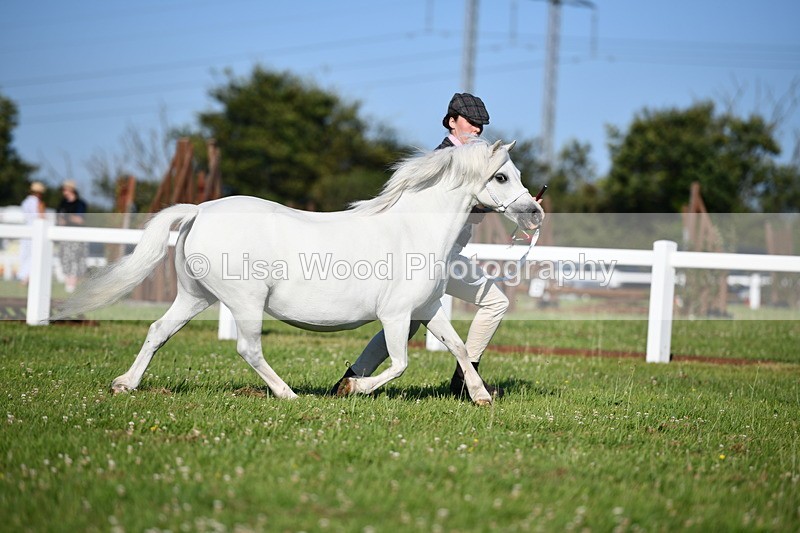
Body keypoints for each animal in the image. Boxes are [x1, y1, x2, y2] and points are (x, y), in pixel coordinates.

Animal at [56, 139, 544, 405]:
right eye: (502, 177)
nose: (535, 212)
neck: (412, 231)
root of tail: (199, 210)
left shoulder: (427, 310)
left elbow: (459, 347)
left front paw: (481, 397)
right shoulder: (396, 315)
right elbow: (401, 363)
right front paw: (354, 389)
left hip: (195, 296)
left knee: (158, 330)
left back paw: (125, 384)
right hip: (245, 302)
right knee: (248, 349)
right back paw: (288, 394)